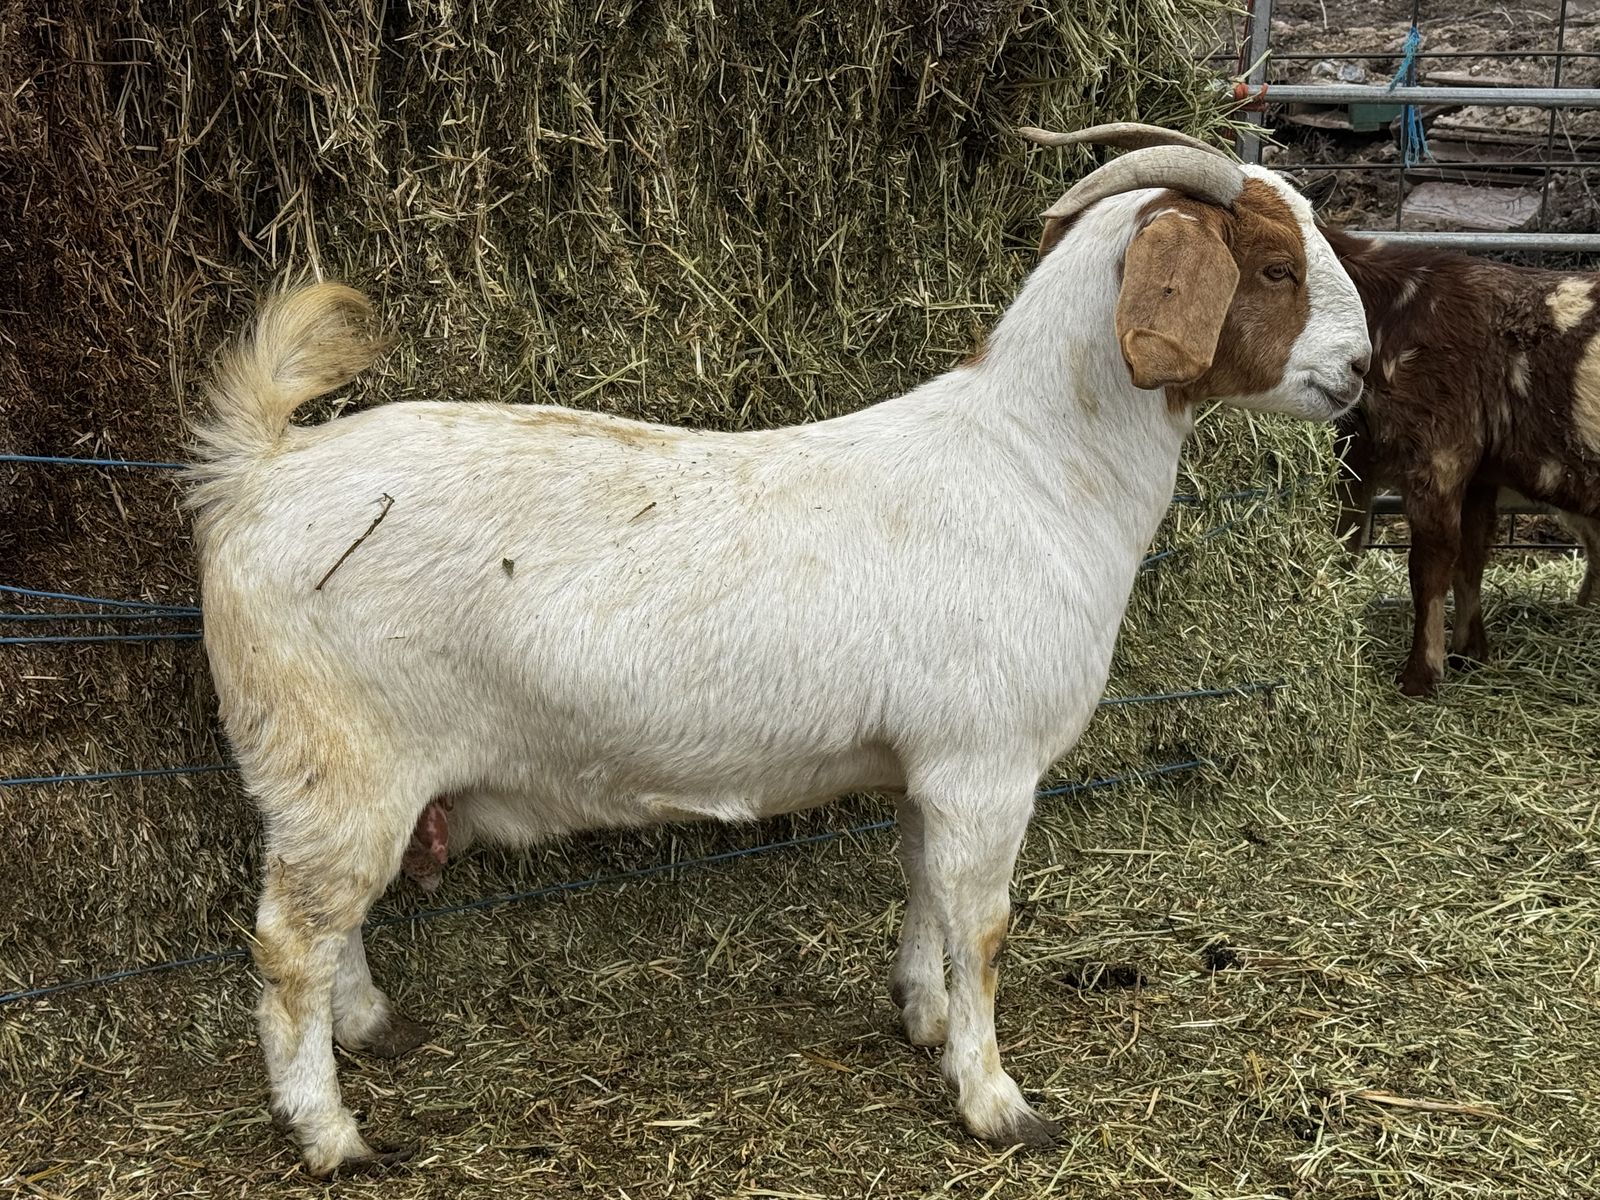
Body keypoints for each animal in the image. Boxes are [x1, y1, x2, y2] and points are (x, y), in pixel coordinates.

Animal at [188, 124, 1371, 1177]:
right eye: (1274, 265)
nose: (1361, 369)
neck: (1034, 471)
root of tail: (260, 468)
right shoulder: (987, 766)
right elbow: (982, 928)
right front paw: (997, 1103)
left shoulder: (930, 767)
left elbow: (922, 890)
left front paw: (923, 1020)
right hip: (336, 759)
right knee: (289, 944)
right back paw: (330, 1134)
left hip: (338, 781)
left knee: (328, 926)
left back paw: (370, 1029)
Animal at [1320, 228, 1600, 695]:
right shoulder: (1477, 472)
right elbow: (1470, 556)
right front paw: (1469, 653)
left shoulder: (1439, 451)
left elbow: (1430, 565)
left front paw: (1419, 677)